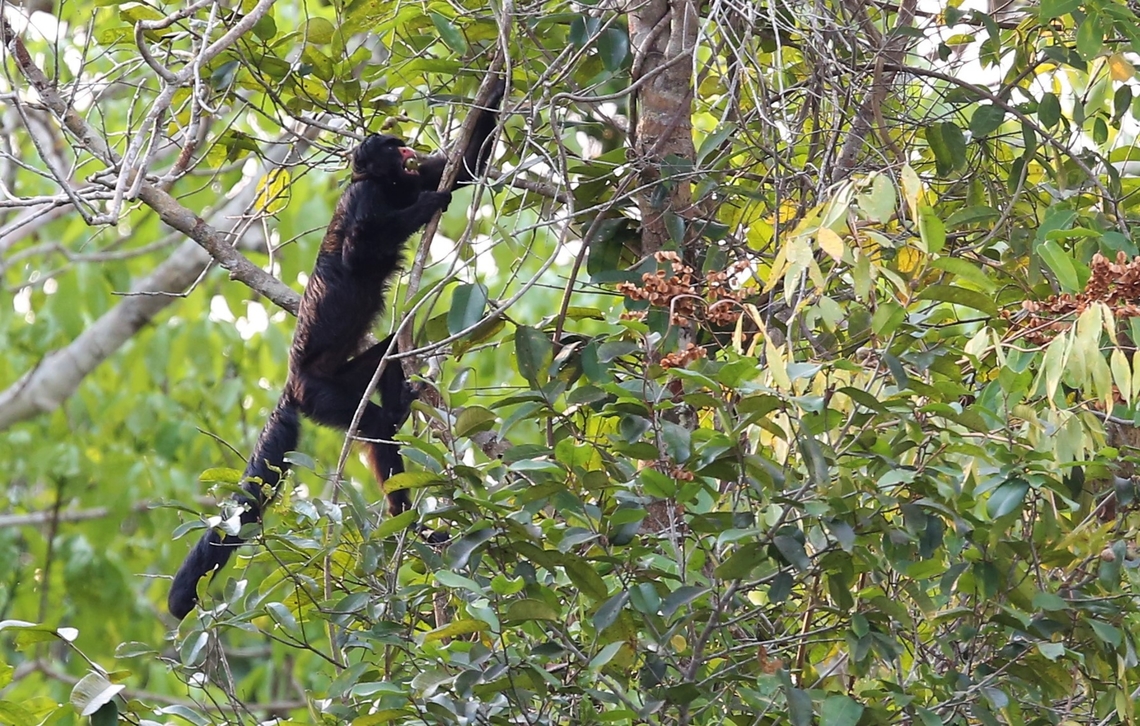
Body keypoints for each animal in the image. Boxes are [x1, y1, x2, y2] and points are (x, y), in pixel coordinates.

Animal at [168, 83, 504, 621]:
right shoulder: (366, 196)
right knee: (370, 423)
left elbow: (467, 163)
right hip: (321, 396)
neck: (388, 186)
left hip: (346, 378)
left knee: (388, 354)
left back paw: (399, 404)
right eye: (389, 145)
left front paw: (495, 85)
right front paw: (432, 201)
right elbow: (358, 252)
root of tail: (292, 383)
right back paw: (402, 498)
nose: (403, 144)